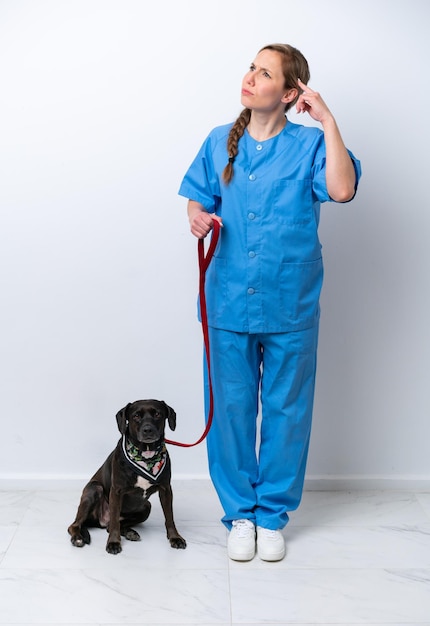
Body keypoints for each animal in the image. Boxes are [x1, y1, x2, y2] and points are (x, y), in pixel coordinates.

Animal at [68, 400, 186, 552]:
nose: (148, 430)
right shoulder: (116, 491)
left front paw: (175, 537)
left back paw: (130, 532)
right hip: (94, 489)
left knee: (113, 526)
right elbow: (114, 523)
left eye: (158, 414)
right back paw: (77, 538)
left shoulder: (166, 490)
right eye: (136, 416)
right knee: (77, 525)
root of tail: (99, 522)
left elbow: (169, 517)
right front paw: (113, 543)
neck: (146, 456)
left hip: (146, 507)